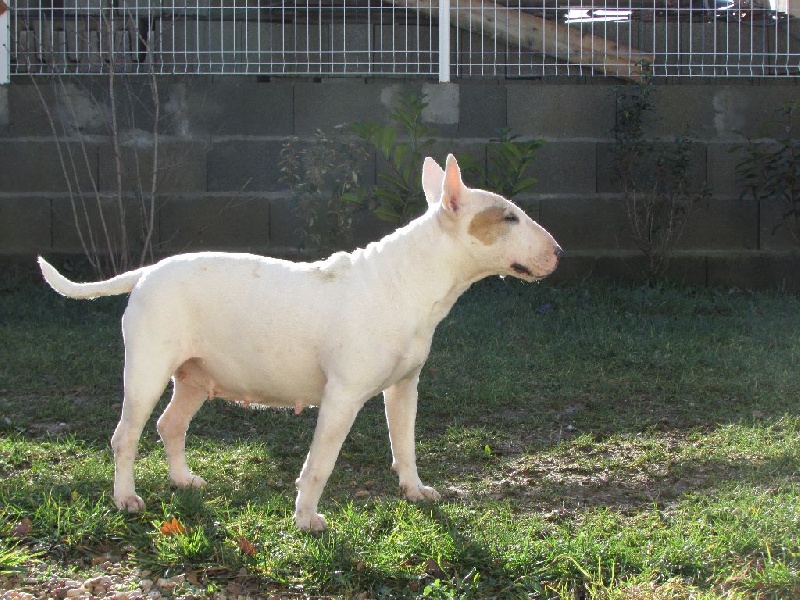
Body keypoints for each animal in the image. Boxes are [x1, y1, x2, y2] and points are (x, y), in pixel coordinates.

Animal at [39, 154, 564, 528]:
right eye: (509, 218)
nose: (559, 252)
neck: (408, 280)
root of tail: (147, 271)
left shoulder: (404, 388)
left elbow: (406, 443)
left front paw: (415, 491)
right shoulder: (342, 397)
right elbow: (320, 463)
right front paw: (306, 519)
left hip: (195, 376)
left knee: (171, 425)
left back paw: (184, 480)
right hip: (147, 370)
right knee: (125, 435)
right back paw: (125, 498)